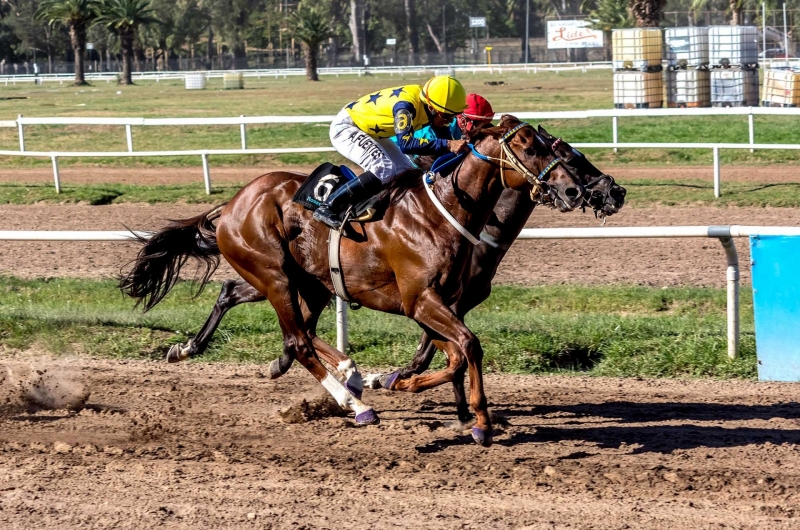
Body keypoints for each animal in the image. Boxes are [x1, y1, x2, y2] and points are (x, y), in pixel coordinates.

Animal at [122, 116, 584, 446]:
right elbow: (467, 346)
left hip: (306, 281)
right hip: (274, 275)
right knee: (298, 340)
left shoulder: (442, 303)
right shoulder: (421, 300)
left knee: (261, 308)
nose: (575, 191)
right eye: (531, 147)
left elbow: (454, 356)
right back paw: (355, 403)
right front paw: (479, 421)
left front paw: (431, 396)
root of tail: (234, 203)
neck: (445, 210)